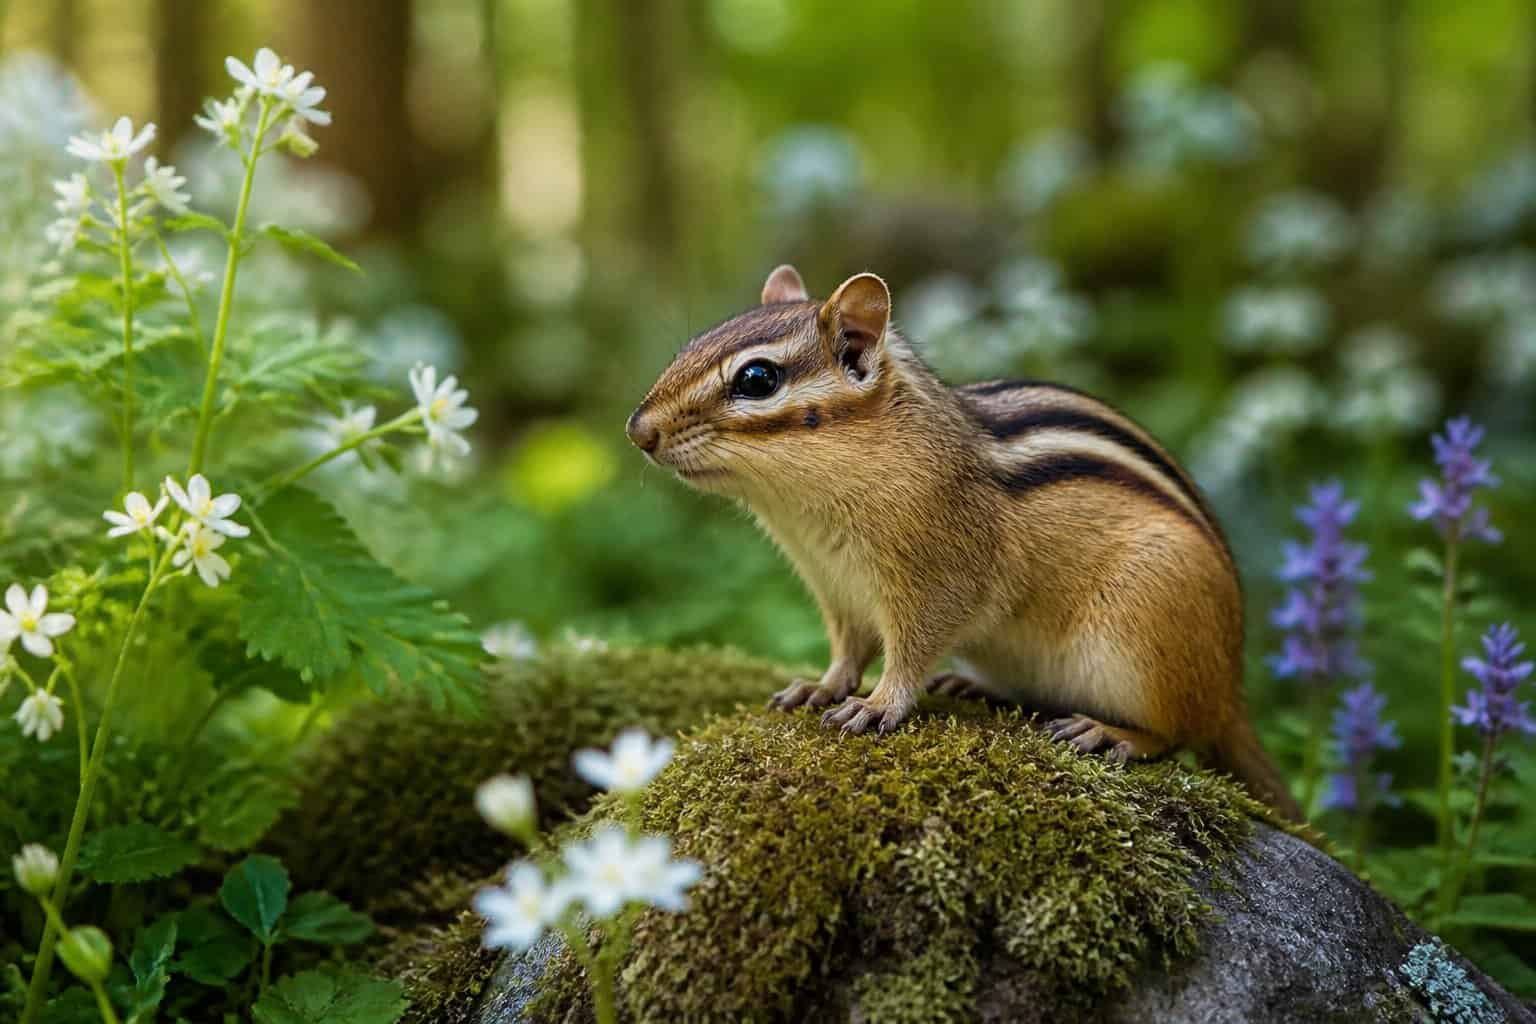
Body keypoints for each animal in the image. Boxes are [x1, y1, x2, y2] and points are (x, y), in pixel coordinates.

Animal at [626, 265, 1302, 821]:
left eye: (758, 378)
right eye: (690, 347)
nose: (638, 430)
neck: (807, 512)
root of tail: (1230, 688)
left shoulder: (939, 582)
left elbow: (910, 652)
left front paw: (878, 705)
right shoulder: (836, 590)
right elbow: (847, 650)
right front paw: (820, 686)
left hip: (1148, 642)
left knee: (1180, 730)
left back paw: (1115, 734)